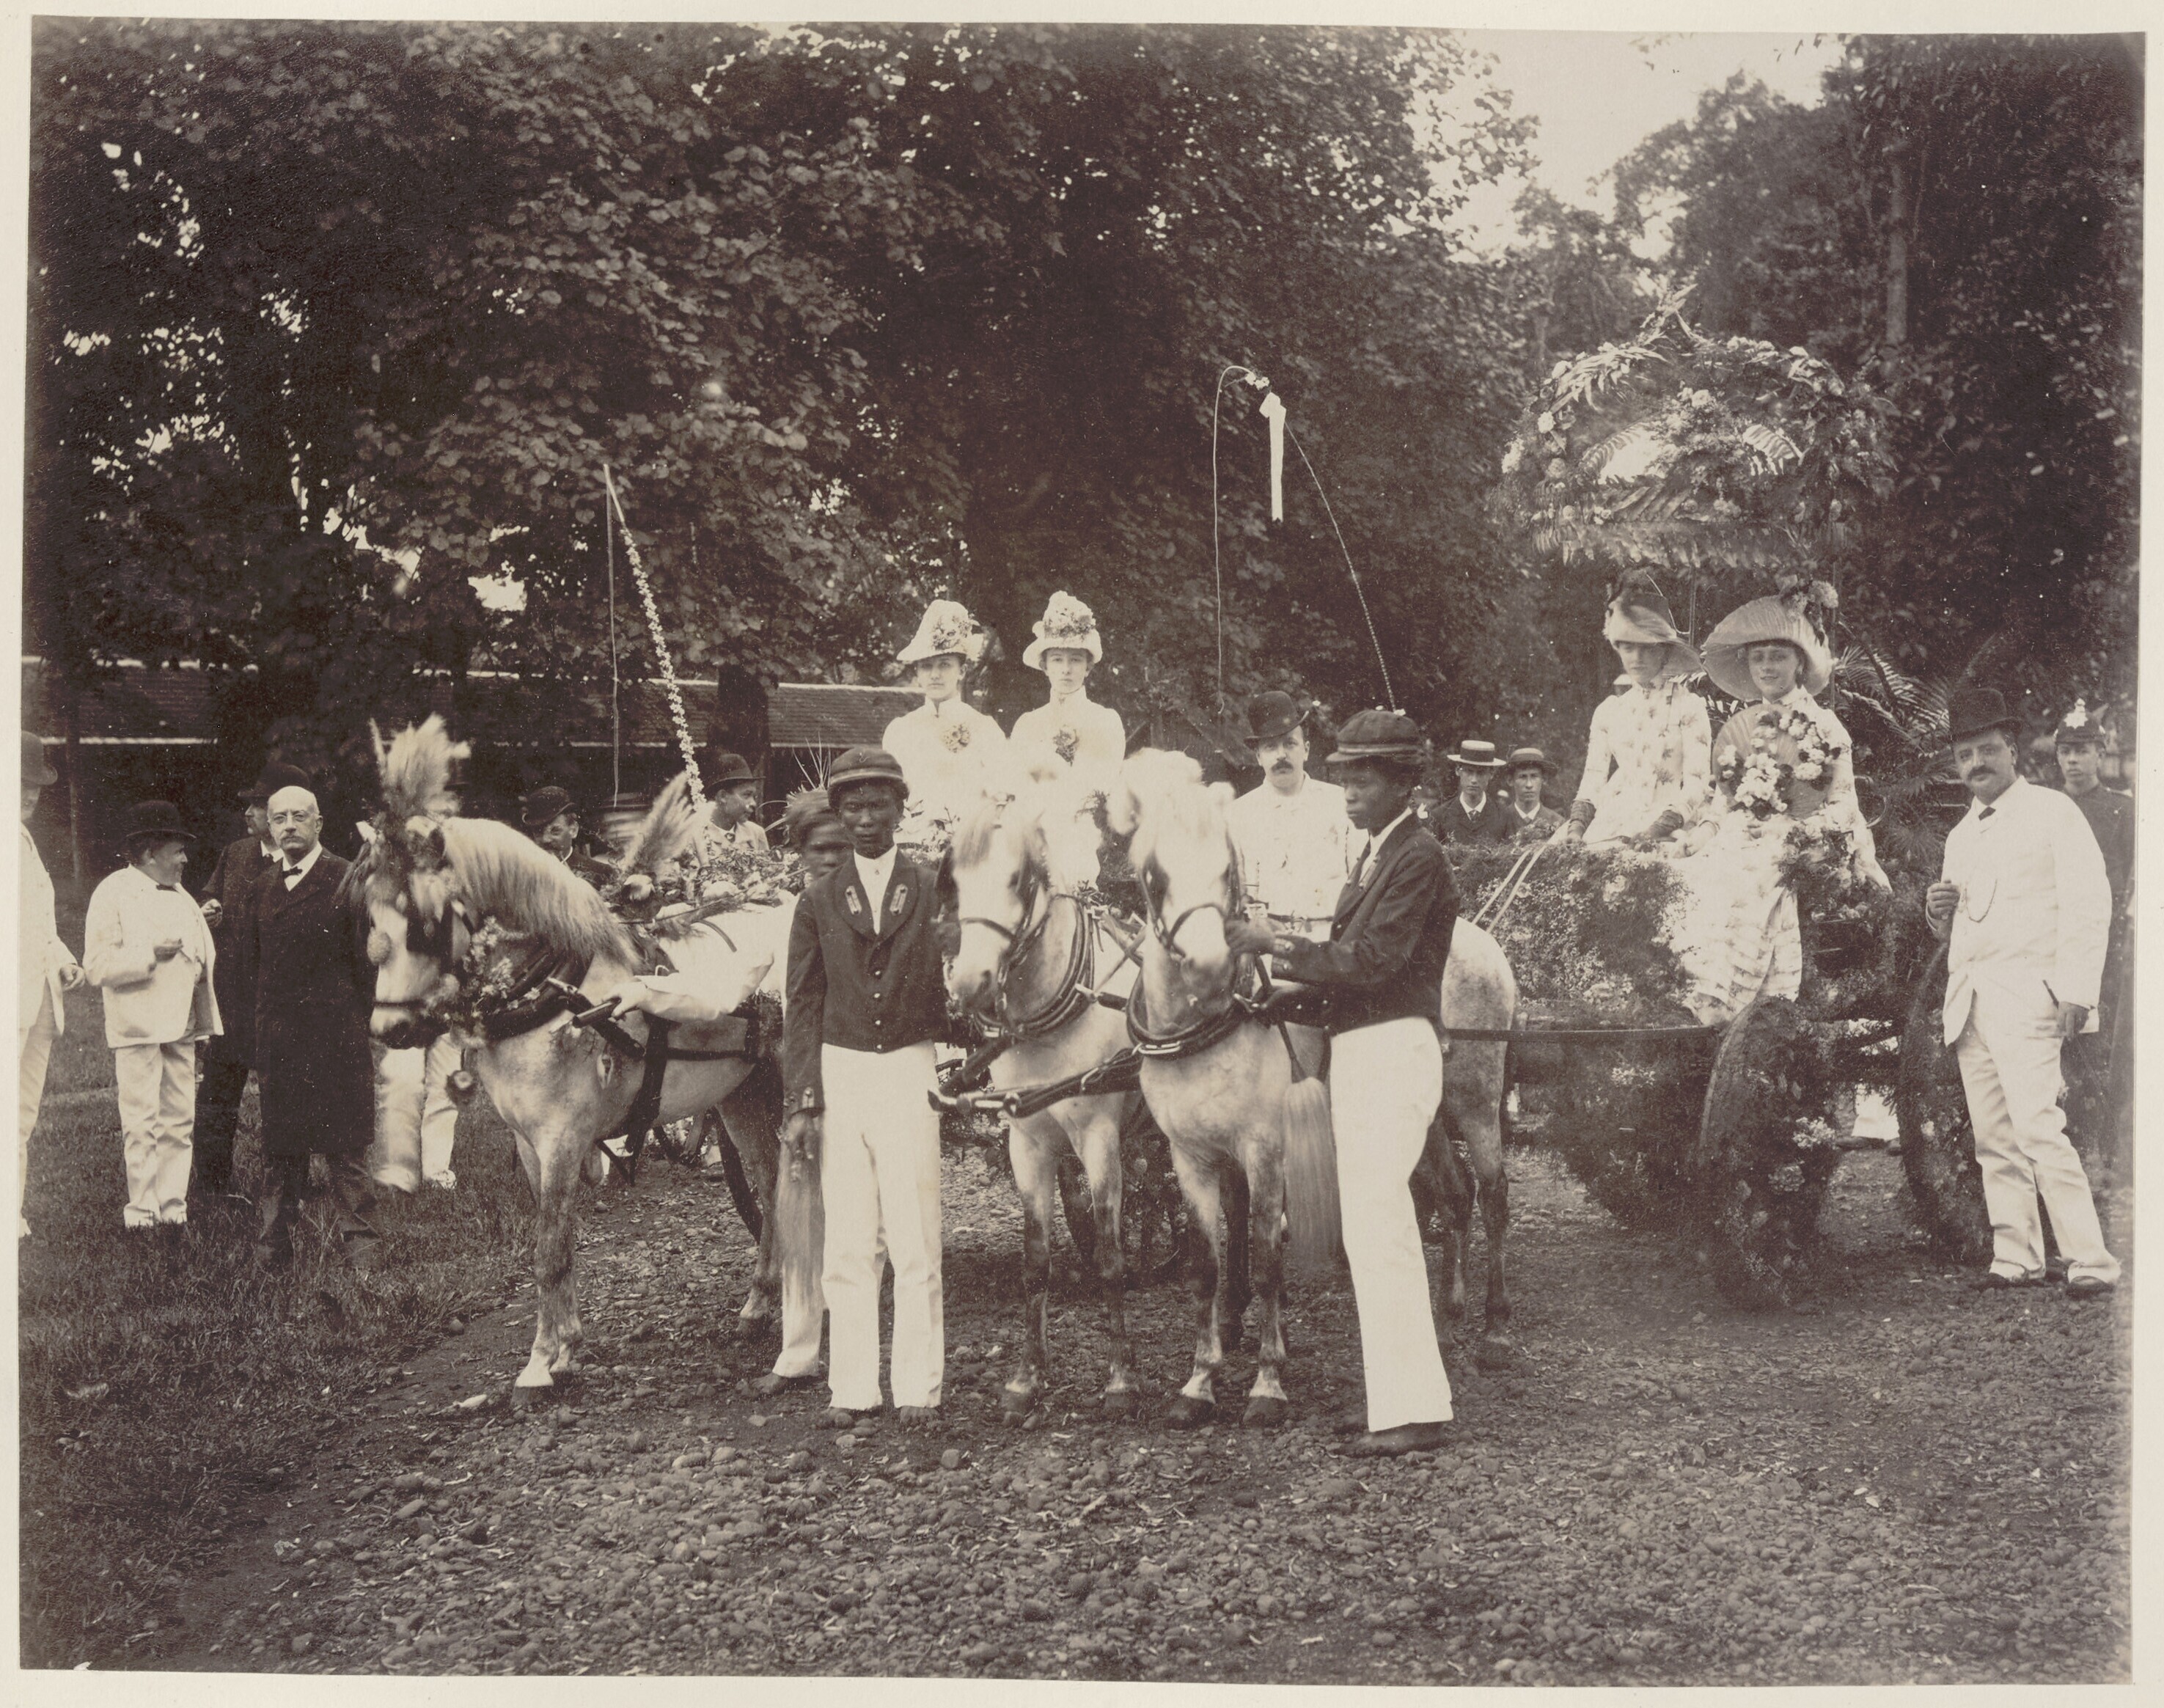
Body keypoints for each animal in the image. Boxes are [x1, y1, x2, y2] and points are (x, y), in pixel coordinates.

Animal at [351, 719, 804, 1400]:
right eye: (368, 919)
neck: (550, 989)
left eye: (425, 924)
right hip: (742, 1092)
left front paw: (540, 1361)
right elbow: (556, 1242)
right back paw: (760, 1300)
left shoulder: (563, 1135)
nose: (390, 1028)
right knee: (770, 1176)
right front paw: (565, 1347)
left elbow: (549, 1249)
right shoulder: (528, 1142)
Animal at [947, 773, 1146, 1421]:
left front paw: (1120, 1379)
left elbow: (1110, 1259)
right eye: (954, 879)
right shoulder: (1027, 1143)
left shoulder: (1100, 1140)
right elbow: (1034, 1263)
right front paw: (1026, 1377)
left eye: (1017, 878)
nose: (968, 984)